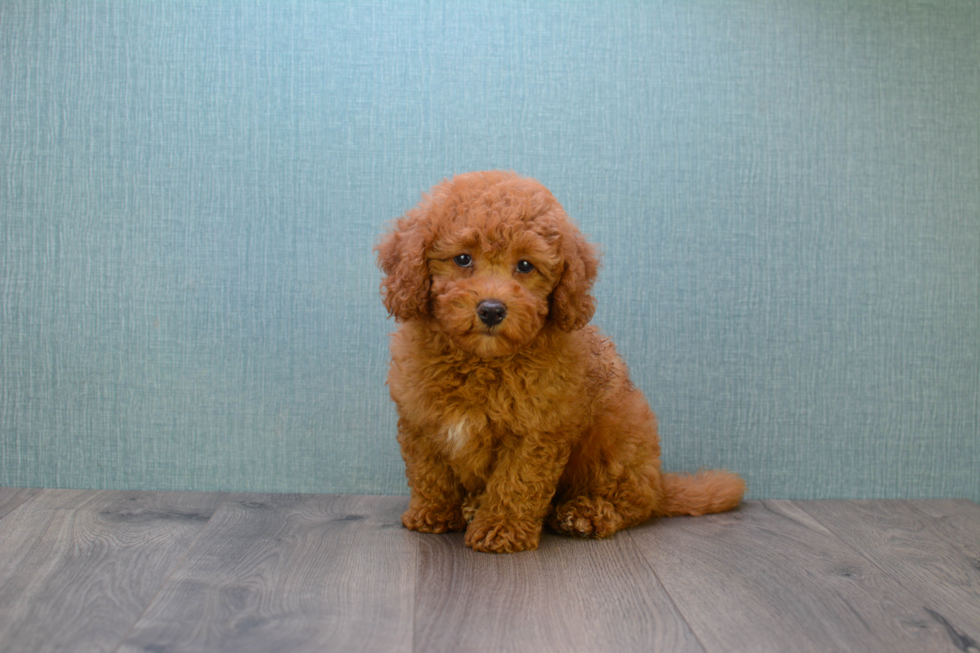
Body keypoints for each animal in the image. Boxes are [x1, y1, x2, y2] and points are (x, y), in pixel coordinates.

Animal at [376, 169, 744, 552]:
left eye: (525, 265)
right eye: (462, 259)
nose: (491, 309)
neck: (481, 362)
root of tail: (659, 482)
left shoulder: (537, 430)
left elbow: (516, 481)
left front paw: (501, 528)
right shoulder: (420, 419)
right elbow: (429, 472)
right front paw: (432, 513)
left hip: (615, 446)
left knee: (633, 502)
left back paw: (586, 514)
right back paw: (472, 505)